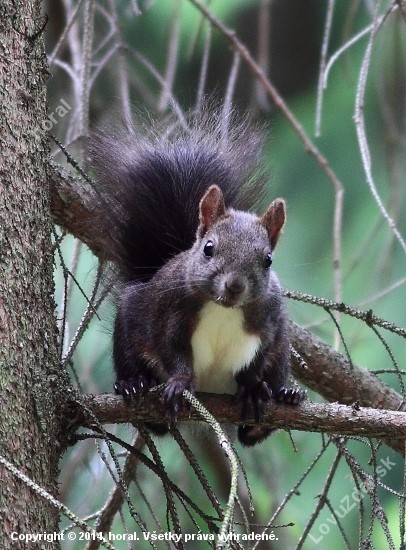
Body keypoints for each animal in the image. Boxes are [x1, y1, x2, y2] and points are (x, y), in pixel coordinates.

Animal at [89, 110, 304, 446]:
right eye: (208, 248)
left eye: (268, 259)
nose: (234, 286)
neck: (223, 309)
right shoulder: (170, 312)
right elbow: (172, 349)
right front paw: (179, 382)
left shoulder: (269, 321)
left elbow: (258, 357)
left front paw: (254, 387)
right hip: (128, 325)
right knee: (153, 420)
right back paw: (133, 384)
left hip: (283, 350)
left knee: (251, 433)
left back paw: (285, 395)